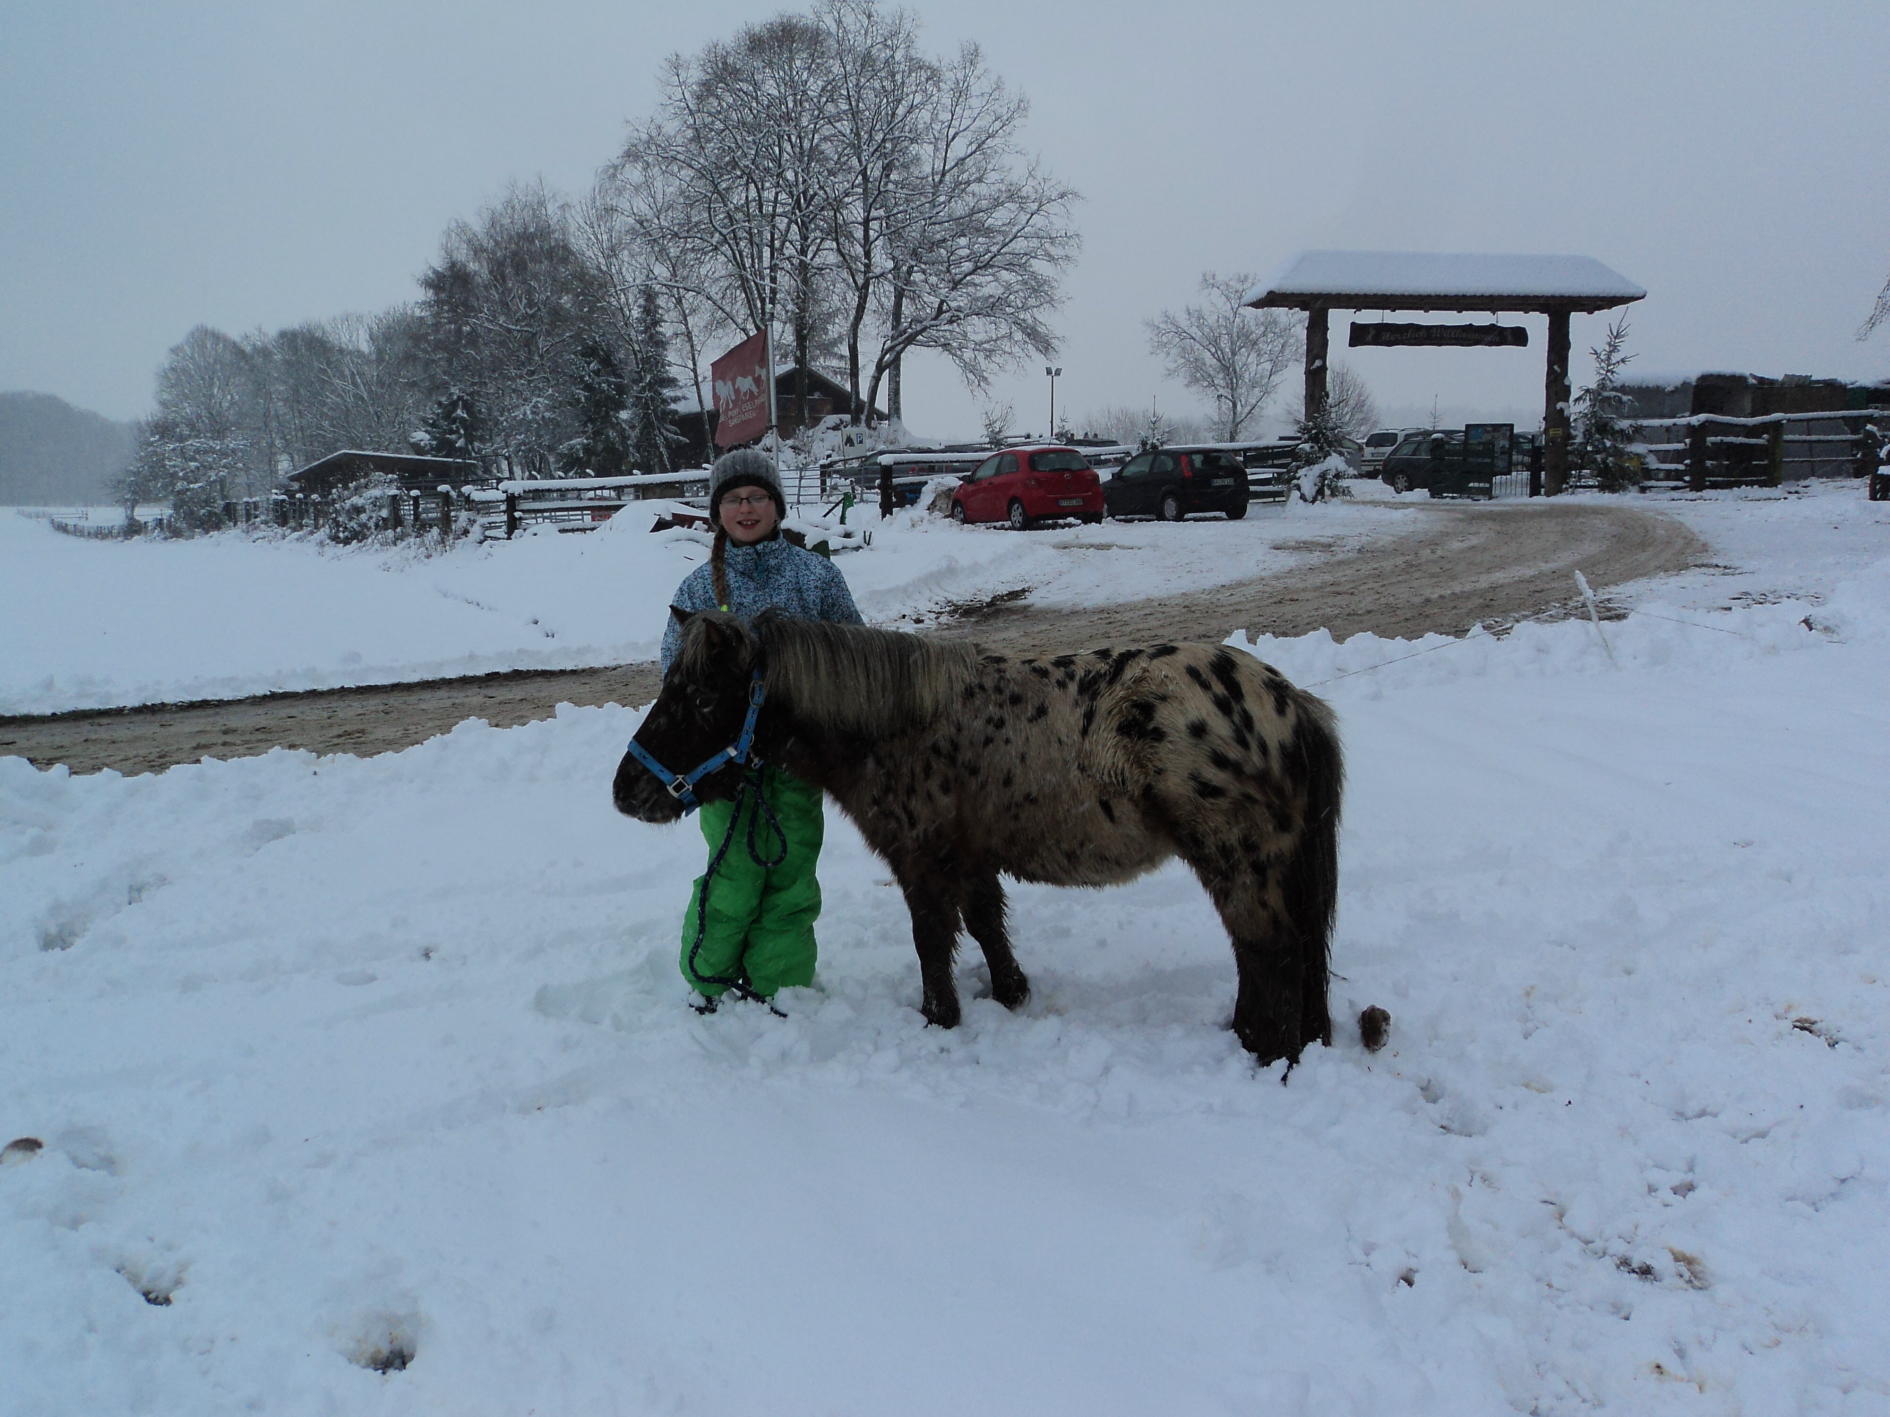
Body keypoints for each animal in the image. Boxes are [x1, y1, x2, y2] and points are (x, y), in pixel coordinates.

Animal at [616, 608, 1345, 1065]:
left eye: (702, 698)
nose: (627, 791)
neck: (901, 724)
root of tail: (1289, 702)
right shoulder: (969, 856)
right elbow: (988, 922)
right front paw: (1010, 994)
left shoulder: (922, 861)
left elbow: (933, 939)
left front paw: (939, 1017)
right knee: (1288, 951)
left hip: (1241, 866)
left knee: (1272, 953)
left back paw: (1264, 1049)